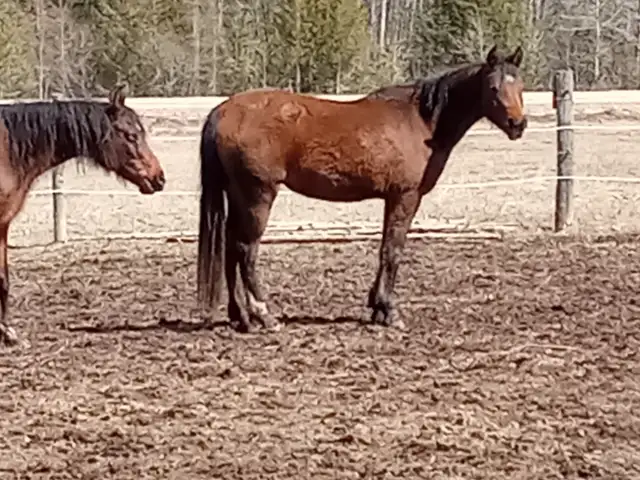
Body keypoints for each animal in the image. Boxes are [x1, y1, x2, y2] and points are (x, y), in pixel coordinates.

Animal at [0, 85, 166, 346]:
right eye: (131, 135)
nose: (158, 178)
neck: (7, 152)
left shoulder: (3, 226)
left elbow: (3, 279)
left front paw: (8, 333)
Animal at [196, 45, 528, 334]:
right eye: (493, 88)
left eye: (520, 86)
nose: (518, 124)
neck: (421, 123)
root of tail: (223, 110)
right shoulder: (405, 197)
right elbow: (393, 251)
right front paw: (389, 311)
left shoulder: (391, 199)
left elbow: (384, 249)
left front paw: (376, 307)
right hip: (258, 195)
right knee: (246, 250)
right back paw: (265, 315)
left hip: (237, 195)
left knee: (230, 248)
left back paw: (241, 317)